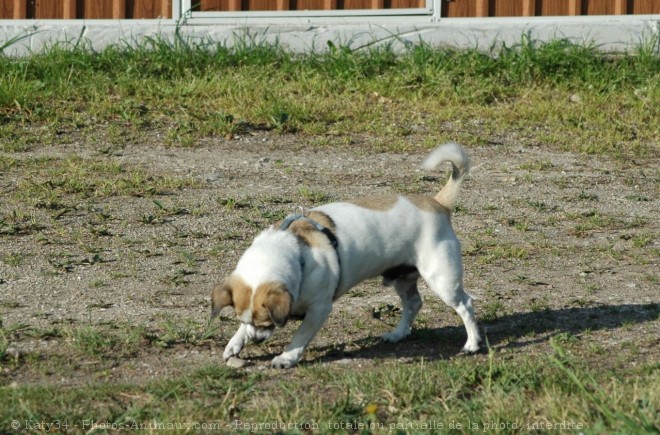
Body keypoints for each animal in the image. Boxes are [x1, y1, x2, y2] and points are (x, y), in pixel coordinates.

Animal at [211, 143, 480, 368]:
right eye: (245, 321)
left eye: (268, 323)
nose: (256, 339)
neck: (296, 253)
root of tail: (438, 203)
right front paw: (236, 342)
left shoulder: (319, 309)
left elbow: (300, 336)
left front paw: (286, 357)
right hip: (403, 279)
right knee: (414, 303)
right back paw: (398, 334)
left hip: (442, 279)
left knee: (465, 304)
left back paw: (472, 344)